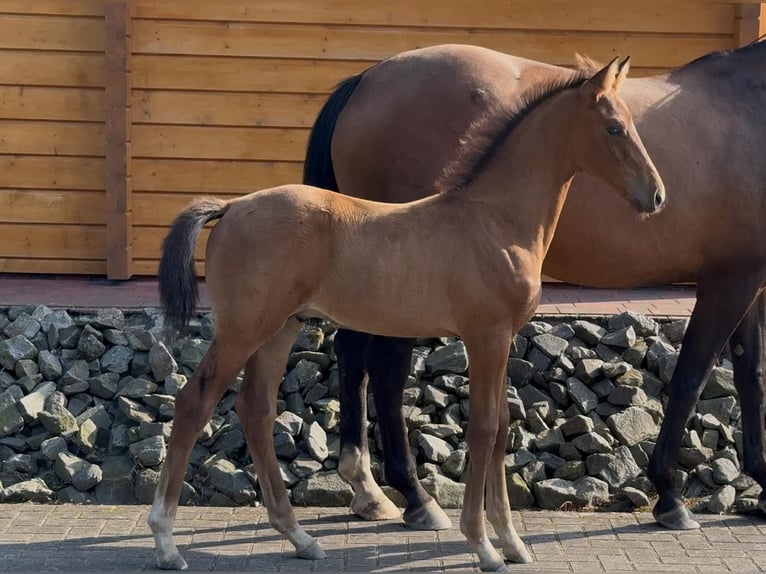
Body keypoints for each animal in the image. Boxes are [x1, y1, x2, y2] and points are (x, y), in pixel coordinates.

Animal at [149, 58, 663, 572]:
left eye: (632, 123)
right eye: (614, 127)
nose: (656, 196)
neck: (494, 220)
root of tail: (232, 207)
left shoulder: (503, 339)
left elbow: (501, 429)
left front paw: (512, 542)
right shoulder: (486, 336)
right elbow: (484, 430)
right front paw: (483, 544)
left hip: (280, 329)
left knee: (255, 409)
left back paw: (299, 537)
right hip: (243, 329)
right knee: (194, 403)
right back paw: (166, 540)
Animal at [302, 41, 766, 534]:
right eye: (614, 128)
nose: (657, 195)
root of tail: (366, 79)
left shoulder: (751, 280)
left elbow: (750, 376)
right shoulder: (729, 280)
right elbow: (691, 379)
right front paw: (670, 496)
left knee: (354, 354)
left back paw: (368, 489)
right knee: (386, 368)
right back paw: (414, 496)